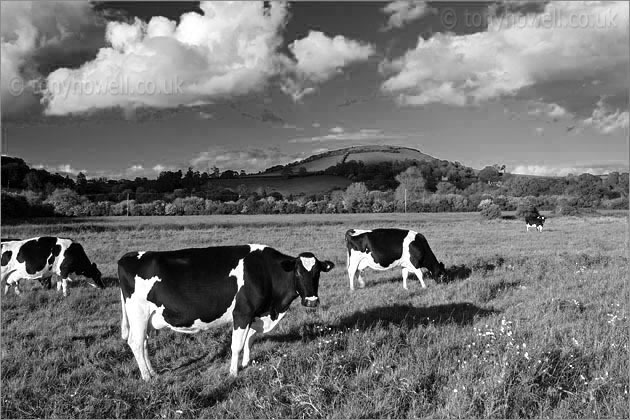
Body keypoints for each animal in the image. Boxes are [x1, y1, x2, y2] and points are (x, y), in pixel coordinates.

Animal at [118, 243, 336, 380]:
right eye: (298, 271)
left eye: (318, 272)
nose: (312, 301)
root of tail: (127, 256)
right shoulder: (242, 313)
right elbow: (236, 345)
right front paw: (233, 372)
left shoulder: (255, 314)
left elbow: (249, 340)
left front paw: (246, 363)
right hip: (138, 314)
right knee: (135, 343)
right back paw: (146, 377)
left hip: (146, 318)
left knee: (144, 343)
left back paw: (153, 372)